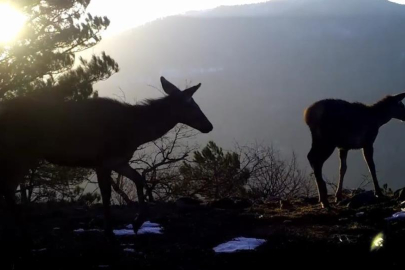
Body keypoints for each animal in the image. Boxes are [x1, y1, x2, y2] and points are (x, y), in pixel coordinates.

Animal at [0, 76, 211, 236]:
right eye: (192, 105)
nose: (209, 126)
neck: (136, 133)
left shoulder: (117, 161)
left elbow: (139, 179)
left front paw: (137, 221)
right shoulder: (102, 161)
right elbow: (107, 195)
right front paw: (110, 230)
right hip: (20, 154)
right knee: (8, 189)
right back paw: (22, 228)